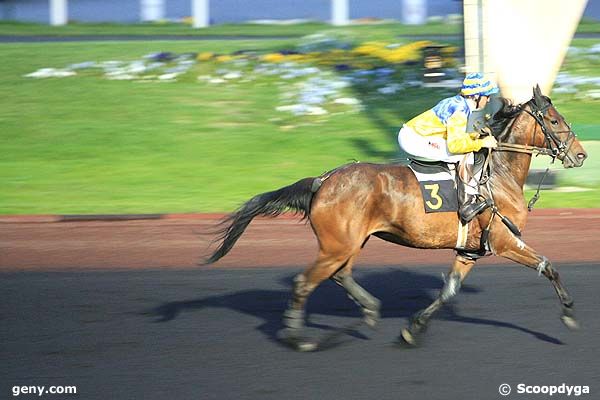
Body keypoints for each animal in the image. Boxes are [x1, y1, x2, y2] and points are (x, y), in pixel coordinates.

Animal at [205, 86, 584, 352]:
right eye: (554, 120)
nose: (580, 154)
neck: (498, 175)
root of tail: (322, 180)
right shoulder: (504, 241)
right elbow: (548, 265)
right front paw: (568, 313)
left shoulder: (469, 250)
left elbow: (449, 290)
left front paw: (412, 330)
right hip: (337, 245)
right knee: (304, 283)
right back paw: (301, 339)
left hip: (349, 243)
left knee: (341, 275)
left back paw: (370, 309)